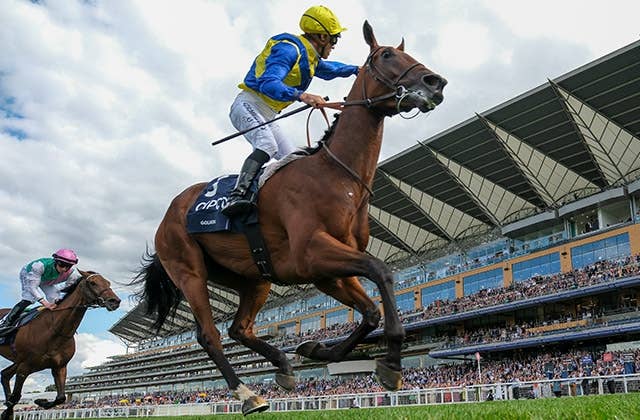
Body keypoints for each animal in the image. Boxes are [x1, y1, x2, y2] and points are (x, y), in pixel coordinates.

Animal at [0, 271, 121, 420]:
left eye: (108, 283)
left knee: (5, 374)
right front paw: (7, 411)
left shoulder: (59, 366)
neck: (54, 328)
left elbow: (61, 398)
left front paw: (41, 401)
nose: (115, 301)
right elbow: (15, 397)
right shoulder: (25, 366)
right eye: (93, 283)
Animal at [134, 21, 446, 415]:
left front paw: (315, 349)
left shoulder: (326, 271)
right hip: (189, 270)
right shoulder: (312, 254)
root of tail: (167, 215)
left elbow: (369, 312)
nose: (436, 82)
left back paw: (281, 365)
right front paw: (391, 361)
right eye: (387, 55)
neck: (337, 176)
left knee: (239, 328)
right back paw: (248, 394)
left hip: (252, 277)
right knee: (210, 334)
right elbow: (382, 270)